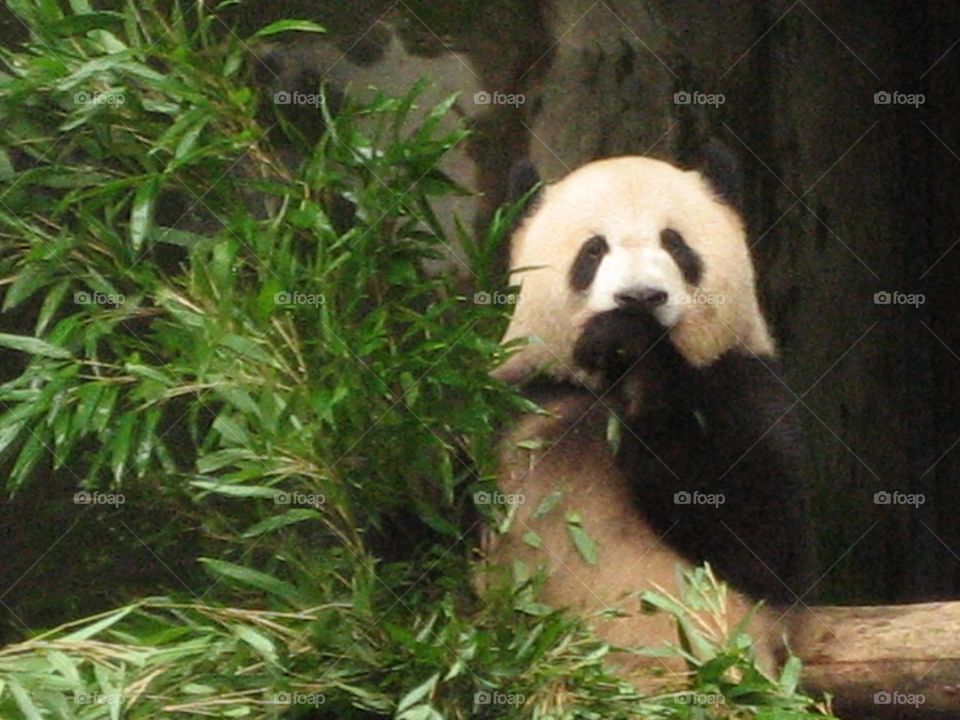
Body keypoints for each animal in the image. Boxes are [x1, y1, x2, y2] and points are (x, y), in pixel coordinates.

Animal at [481, 145, 814, 684]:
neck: (601, 387)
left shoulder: (746, 380)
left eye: (675, 244)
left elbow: (765, 544)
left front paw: (635, 349)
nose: (640, 298)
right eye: (593, 251)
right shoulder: (517, 398)